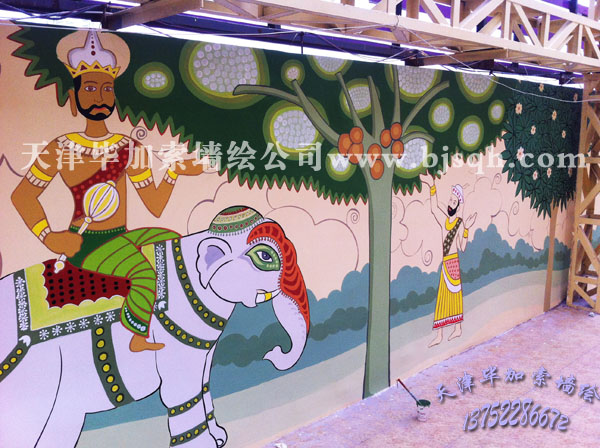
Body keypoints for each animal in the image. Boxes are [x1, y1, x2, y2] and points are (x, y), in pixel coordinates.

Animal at [0, 206, 310, 448]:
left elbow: (204, 384)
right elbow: (181, 392)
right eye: (265, 257)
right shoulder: (172, 338)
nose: (271, 353)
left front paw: (220, 437)